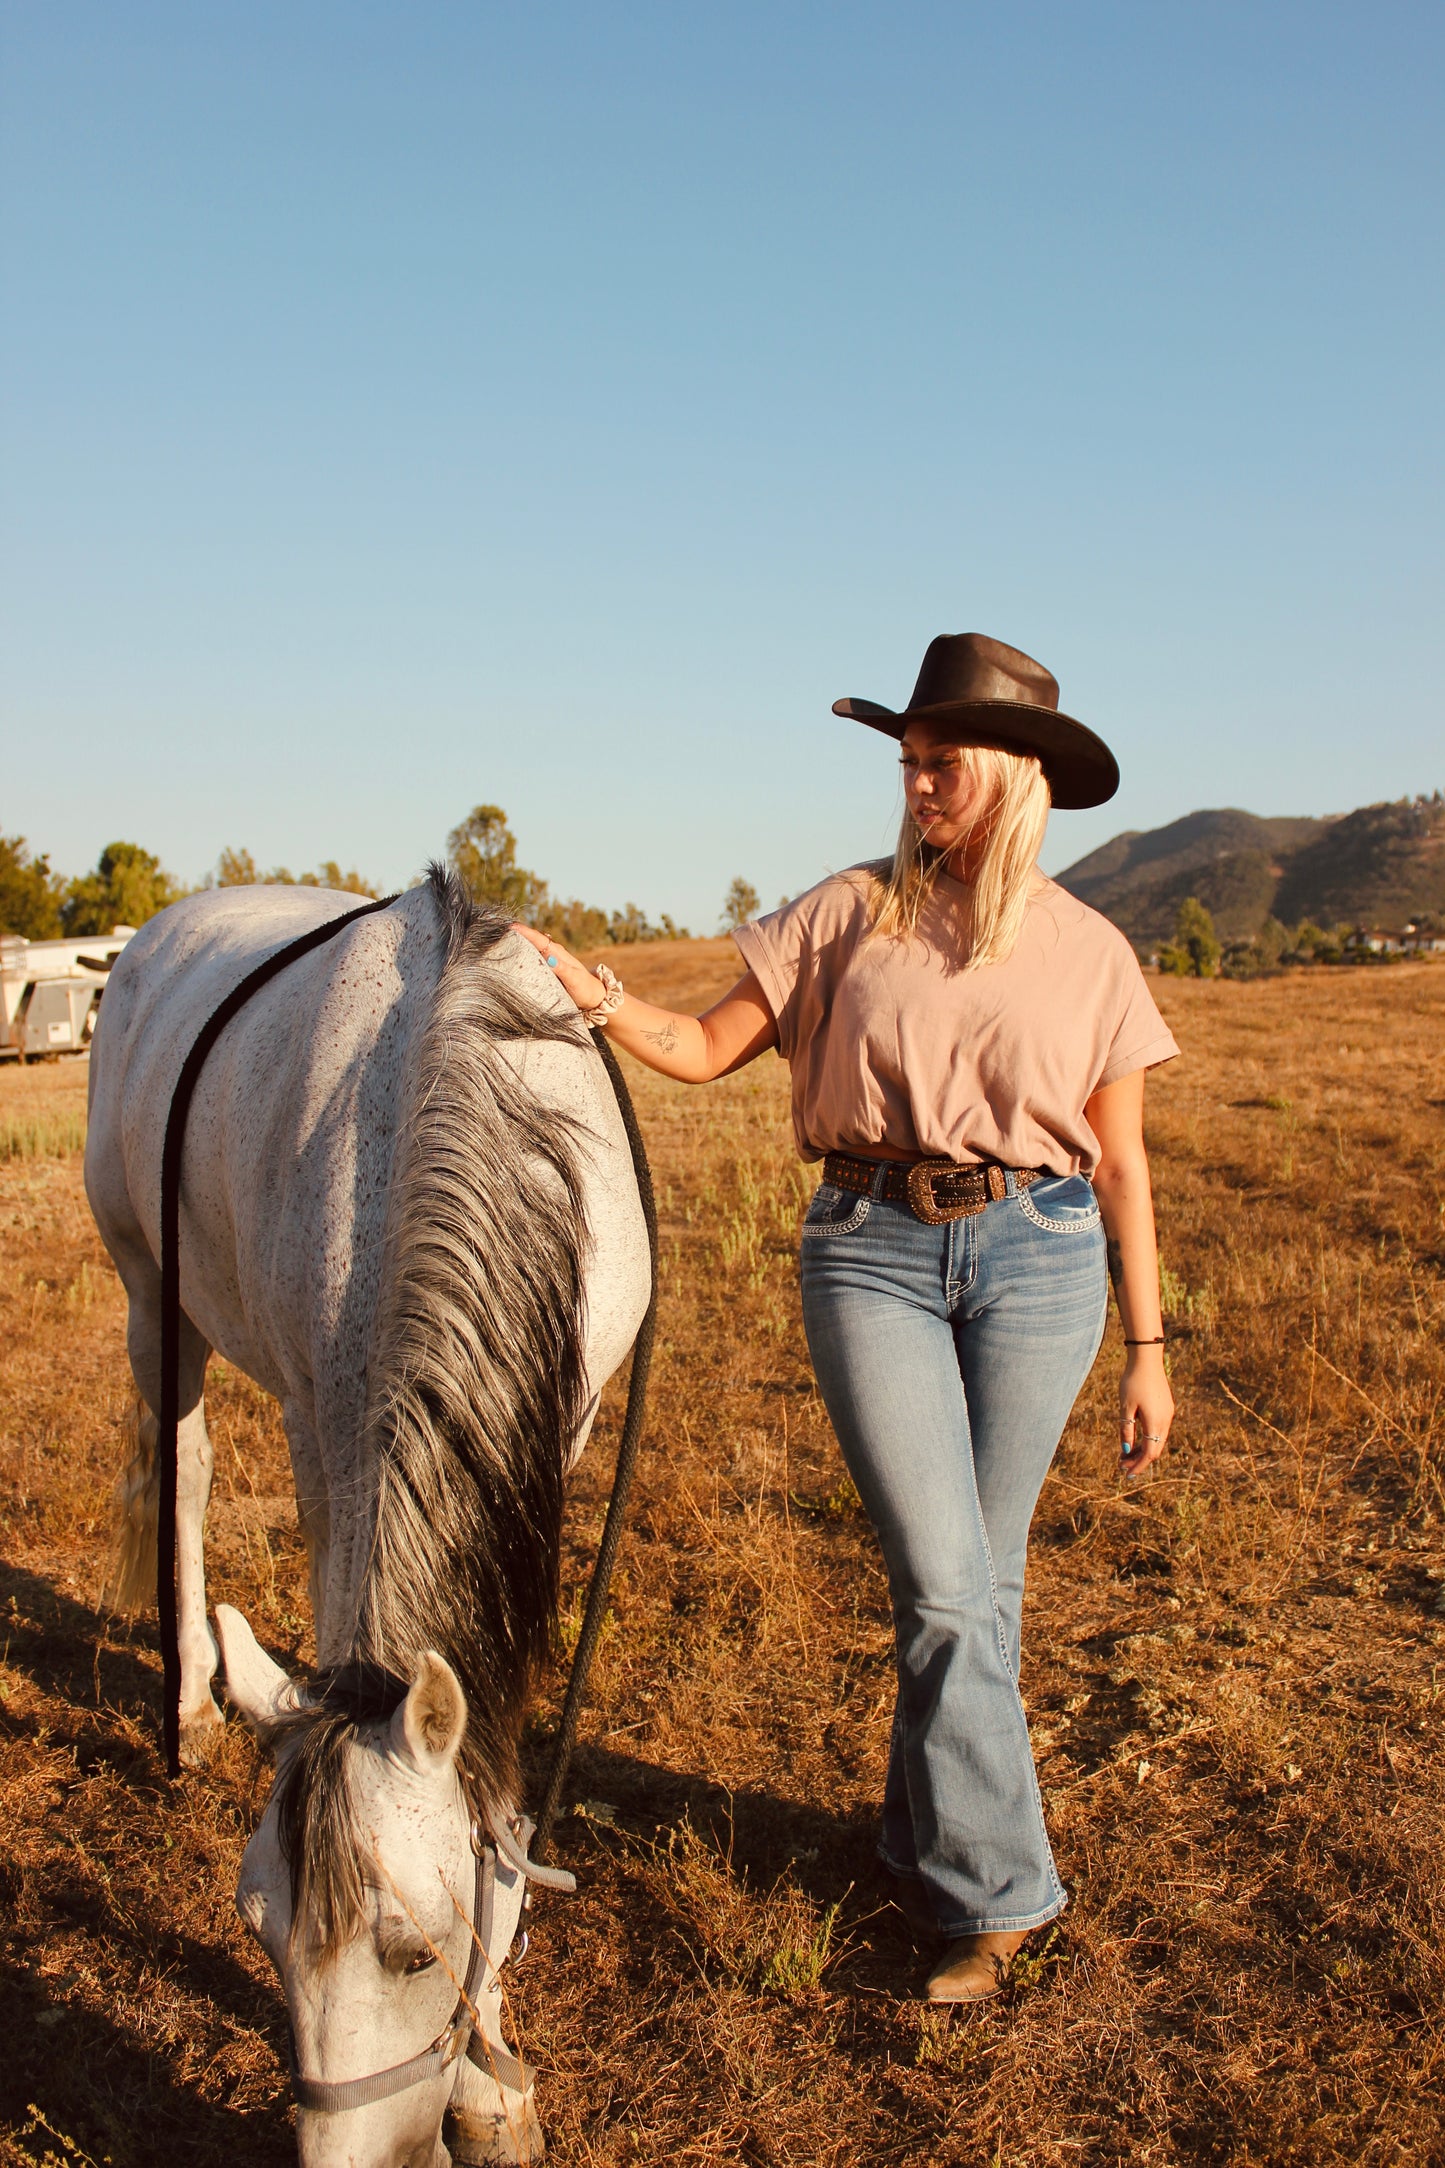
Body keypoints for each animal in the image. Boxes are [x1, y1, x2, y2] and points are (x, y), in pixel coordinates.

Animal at [87, 867, 654, 2168]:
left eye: (406, 1949)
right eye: (256, 1928)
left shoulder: (559, 1423)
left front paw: (488, 2076)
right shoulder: (319, 1415)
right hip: (149, 1284)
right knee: (184, 1467)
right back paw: (189, 1704)